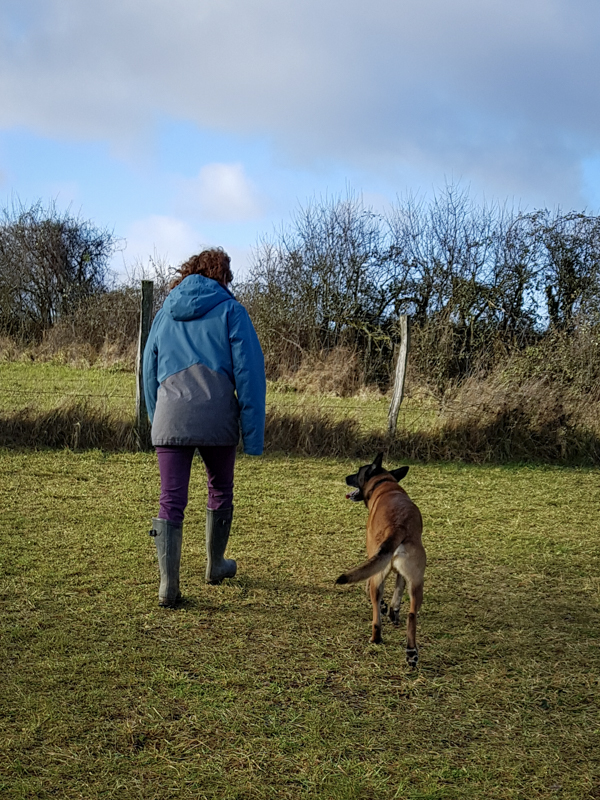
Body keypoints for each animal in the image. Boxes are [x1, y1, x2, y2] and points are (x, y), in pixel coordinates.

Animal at [336, 454, 424, 664]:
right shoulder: (402, 575)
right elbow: (398, 591)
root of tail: (398, 527)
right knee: (412, 614)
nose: (346, 477)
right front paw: (393, 612)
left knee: (376, 614)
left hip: (378, 575)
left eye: (358, 472)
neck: (385, 484)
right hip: (417, 582)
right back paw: (411, 652)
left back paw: (376, 638)